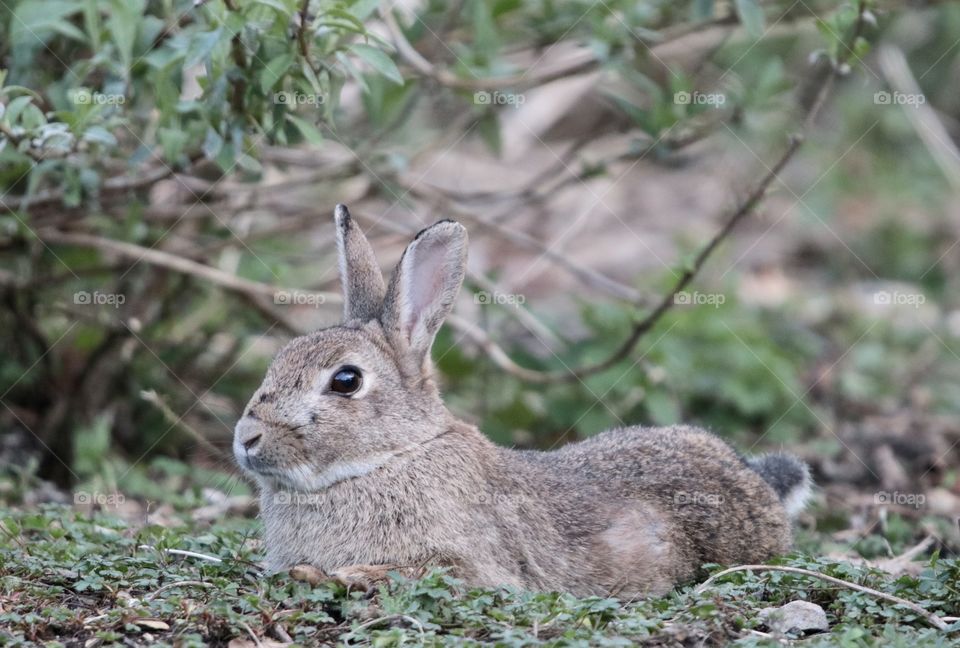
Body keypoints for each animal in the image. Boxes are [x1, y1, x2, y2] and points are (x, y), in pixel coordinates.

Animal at [233, 204, 812, 597]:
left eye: (346, 381)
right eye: (278, 361)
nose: (246, 438)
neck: (391, 457)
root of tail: (753, 481)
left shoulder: (471, 567)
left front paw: (336, 575)